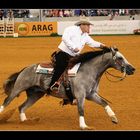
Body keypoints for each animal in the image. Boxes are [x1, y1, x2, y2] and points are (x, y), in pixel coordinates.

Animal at [0, 47, 135, 130]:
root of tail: (25, 69)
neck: (88, 71)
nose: (132, 69)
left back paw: (26, 121)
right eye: (120, 58)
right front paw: (84, 126)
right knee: (6, 101)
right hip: (18, 88)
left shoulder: (91, 95)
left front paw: (114, 118)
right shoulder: (81, 96)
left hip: (35, 94)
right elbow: (81, 110)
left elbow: (104, 102)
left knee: (21, 107)